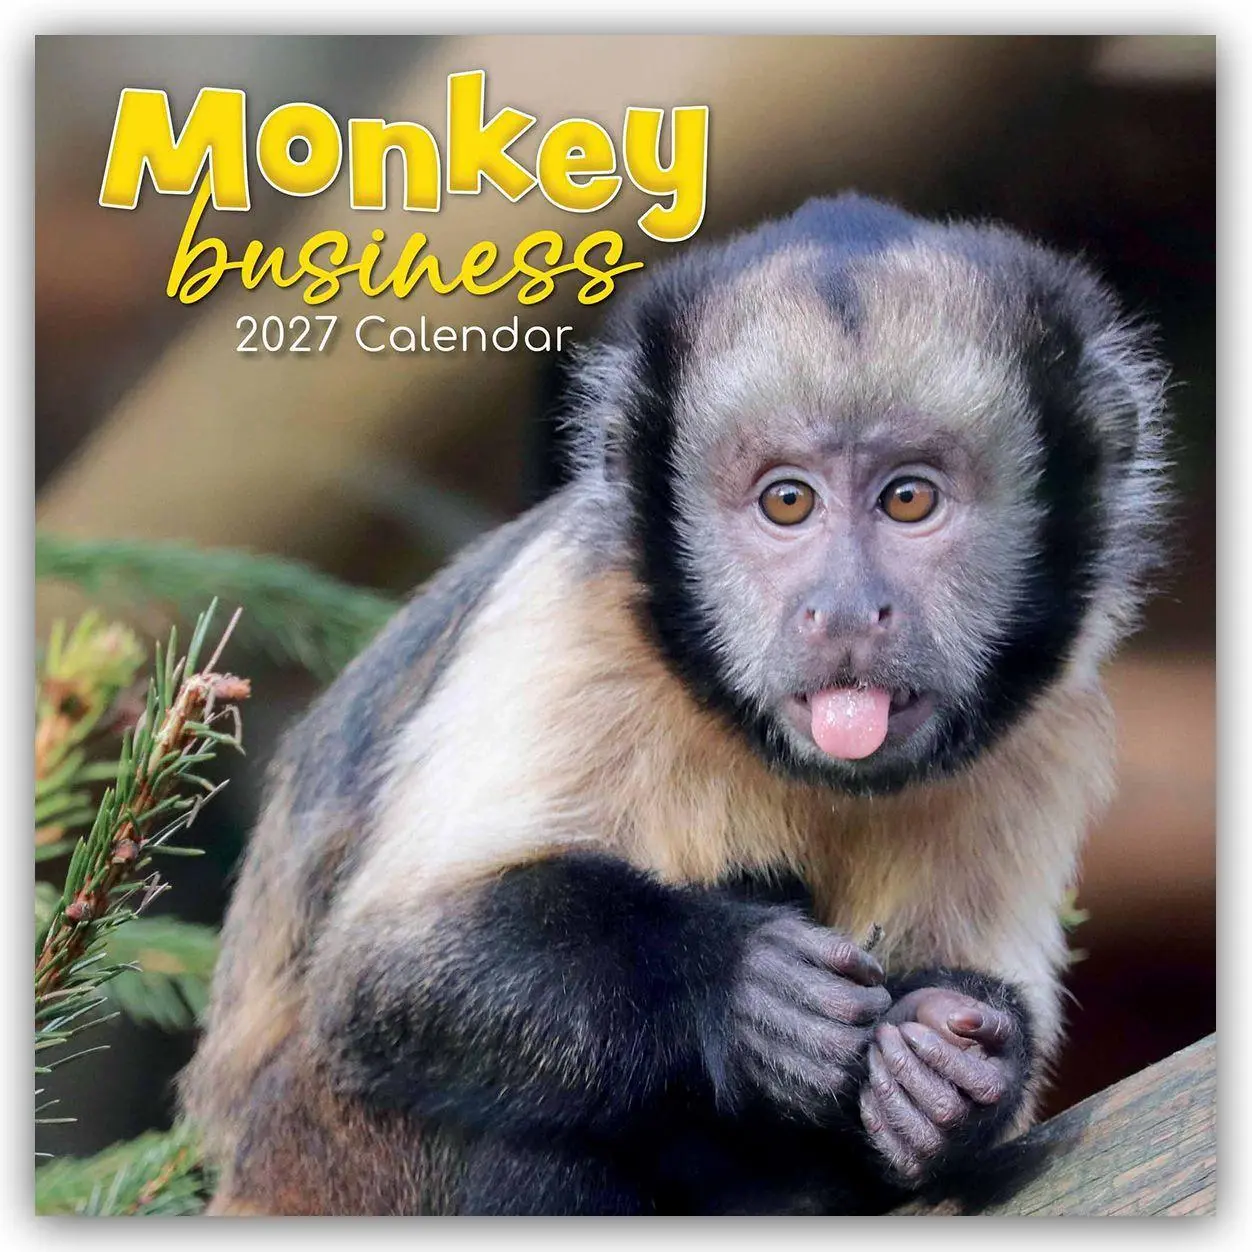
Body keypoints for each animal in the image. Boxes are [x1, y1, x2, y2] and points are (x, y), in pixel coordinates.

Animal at [180, 193, 1169, 1215]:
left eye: (908, 499)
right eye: (787, 503)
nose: (844, 608)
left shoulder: (1044, 731)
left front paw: (949, 1069)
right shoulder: (567, 619)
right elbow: (378, 975)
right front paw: (733, 986)